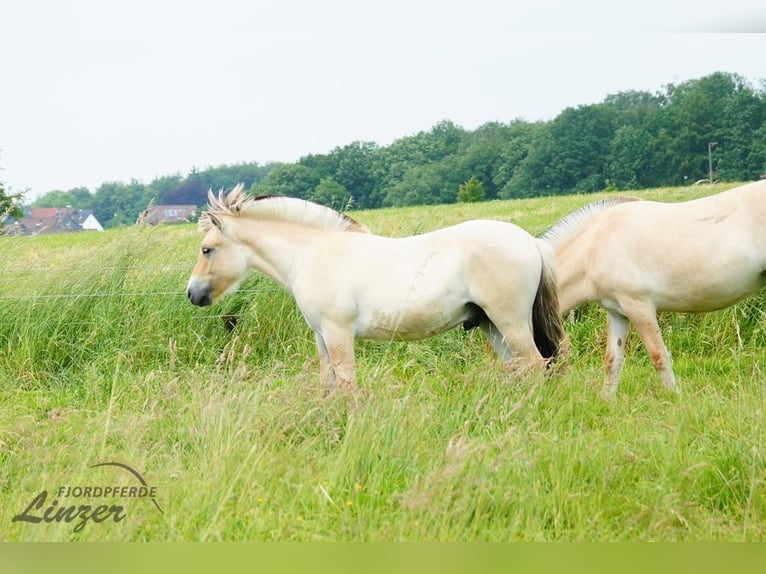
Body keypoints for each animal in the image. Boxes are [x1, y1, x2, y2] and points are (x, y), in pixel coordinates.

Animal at [187, 184, 565, 388]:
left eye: (206, 249)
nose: (193, 293)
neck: (313, 252)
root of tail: (531, 243)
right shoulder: (322, 336)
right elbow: (329, 384)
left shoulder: (338, 334)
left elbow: (348, 386)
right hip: (491, 325)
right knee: (522, 369)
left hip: (510, 322)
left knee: (535, 364)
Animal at [543, 180, 766, 398]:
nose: (545, 397)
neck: (593, 248)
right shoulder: (618, 313)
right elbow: (612, 361)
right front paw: (606, 401)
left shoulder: (639, 307)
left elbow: (659, 356)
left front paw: (676, 398)